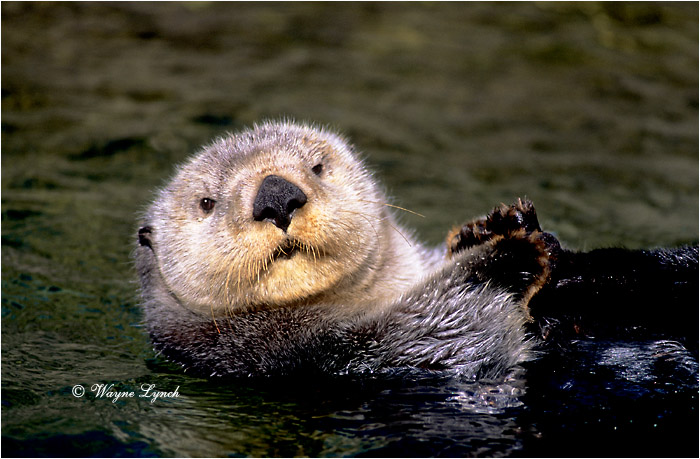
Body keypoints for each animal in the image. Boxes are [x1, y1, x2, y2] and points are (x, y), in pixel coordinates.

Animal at [135, 121, 698, 379]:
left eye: (317, 167)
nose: (276, 196)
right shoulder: (310, 350)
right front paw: (506, 254)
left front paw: (496, 226)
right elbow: (447, 325)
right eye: (207, 202)